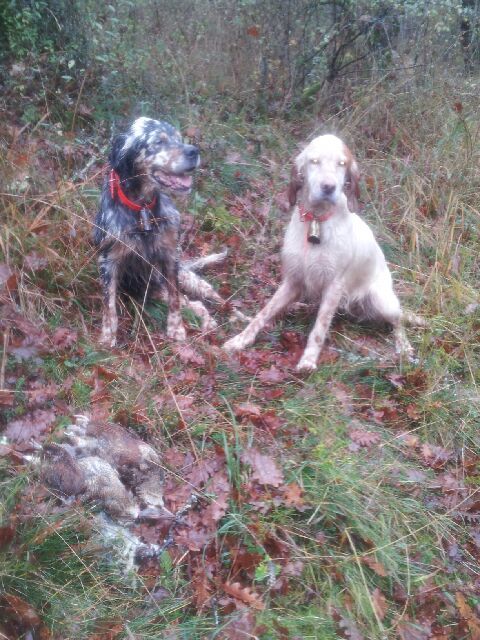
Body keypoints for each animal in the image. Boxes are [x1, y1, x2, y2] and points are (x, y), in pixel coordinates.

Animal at [94, 115, 225, 344]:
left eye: (179, 138)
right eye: (158, 141)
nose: (194, 151)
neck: (142, 210)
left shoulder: (170, 256)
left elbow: (174, 298)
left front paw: (176, 329)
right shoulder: (108, 261)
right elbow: (108, 305)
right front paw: (108, 337)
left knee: (200, 299)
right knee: (194, 303)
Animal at [225, 136, 420, 376]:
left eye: (342, 164)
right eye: (314, 161)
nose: (328, 187)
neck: (316, 220)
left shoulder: (334, 287)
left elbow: (319, 329)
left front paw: (308, 361)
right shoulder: (292, 280)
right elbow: (263, 313)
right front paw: (241, 339)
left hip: (382, 300)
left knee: (398, 322)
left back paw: (404, 347)